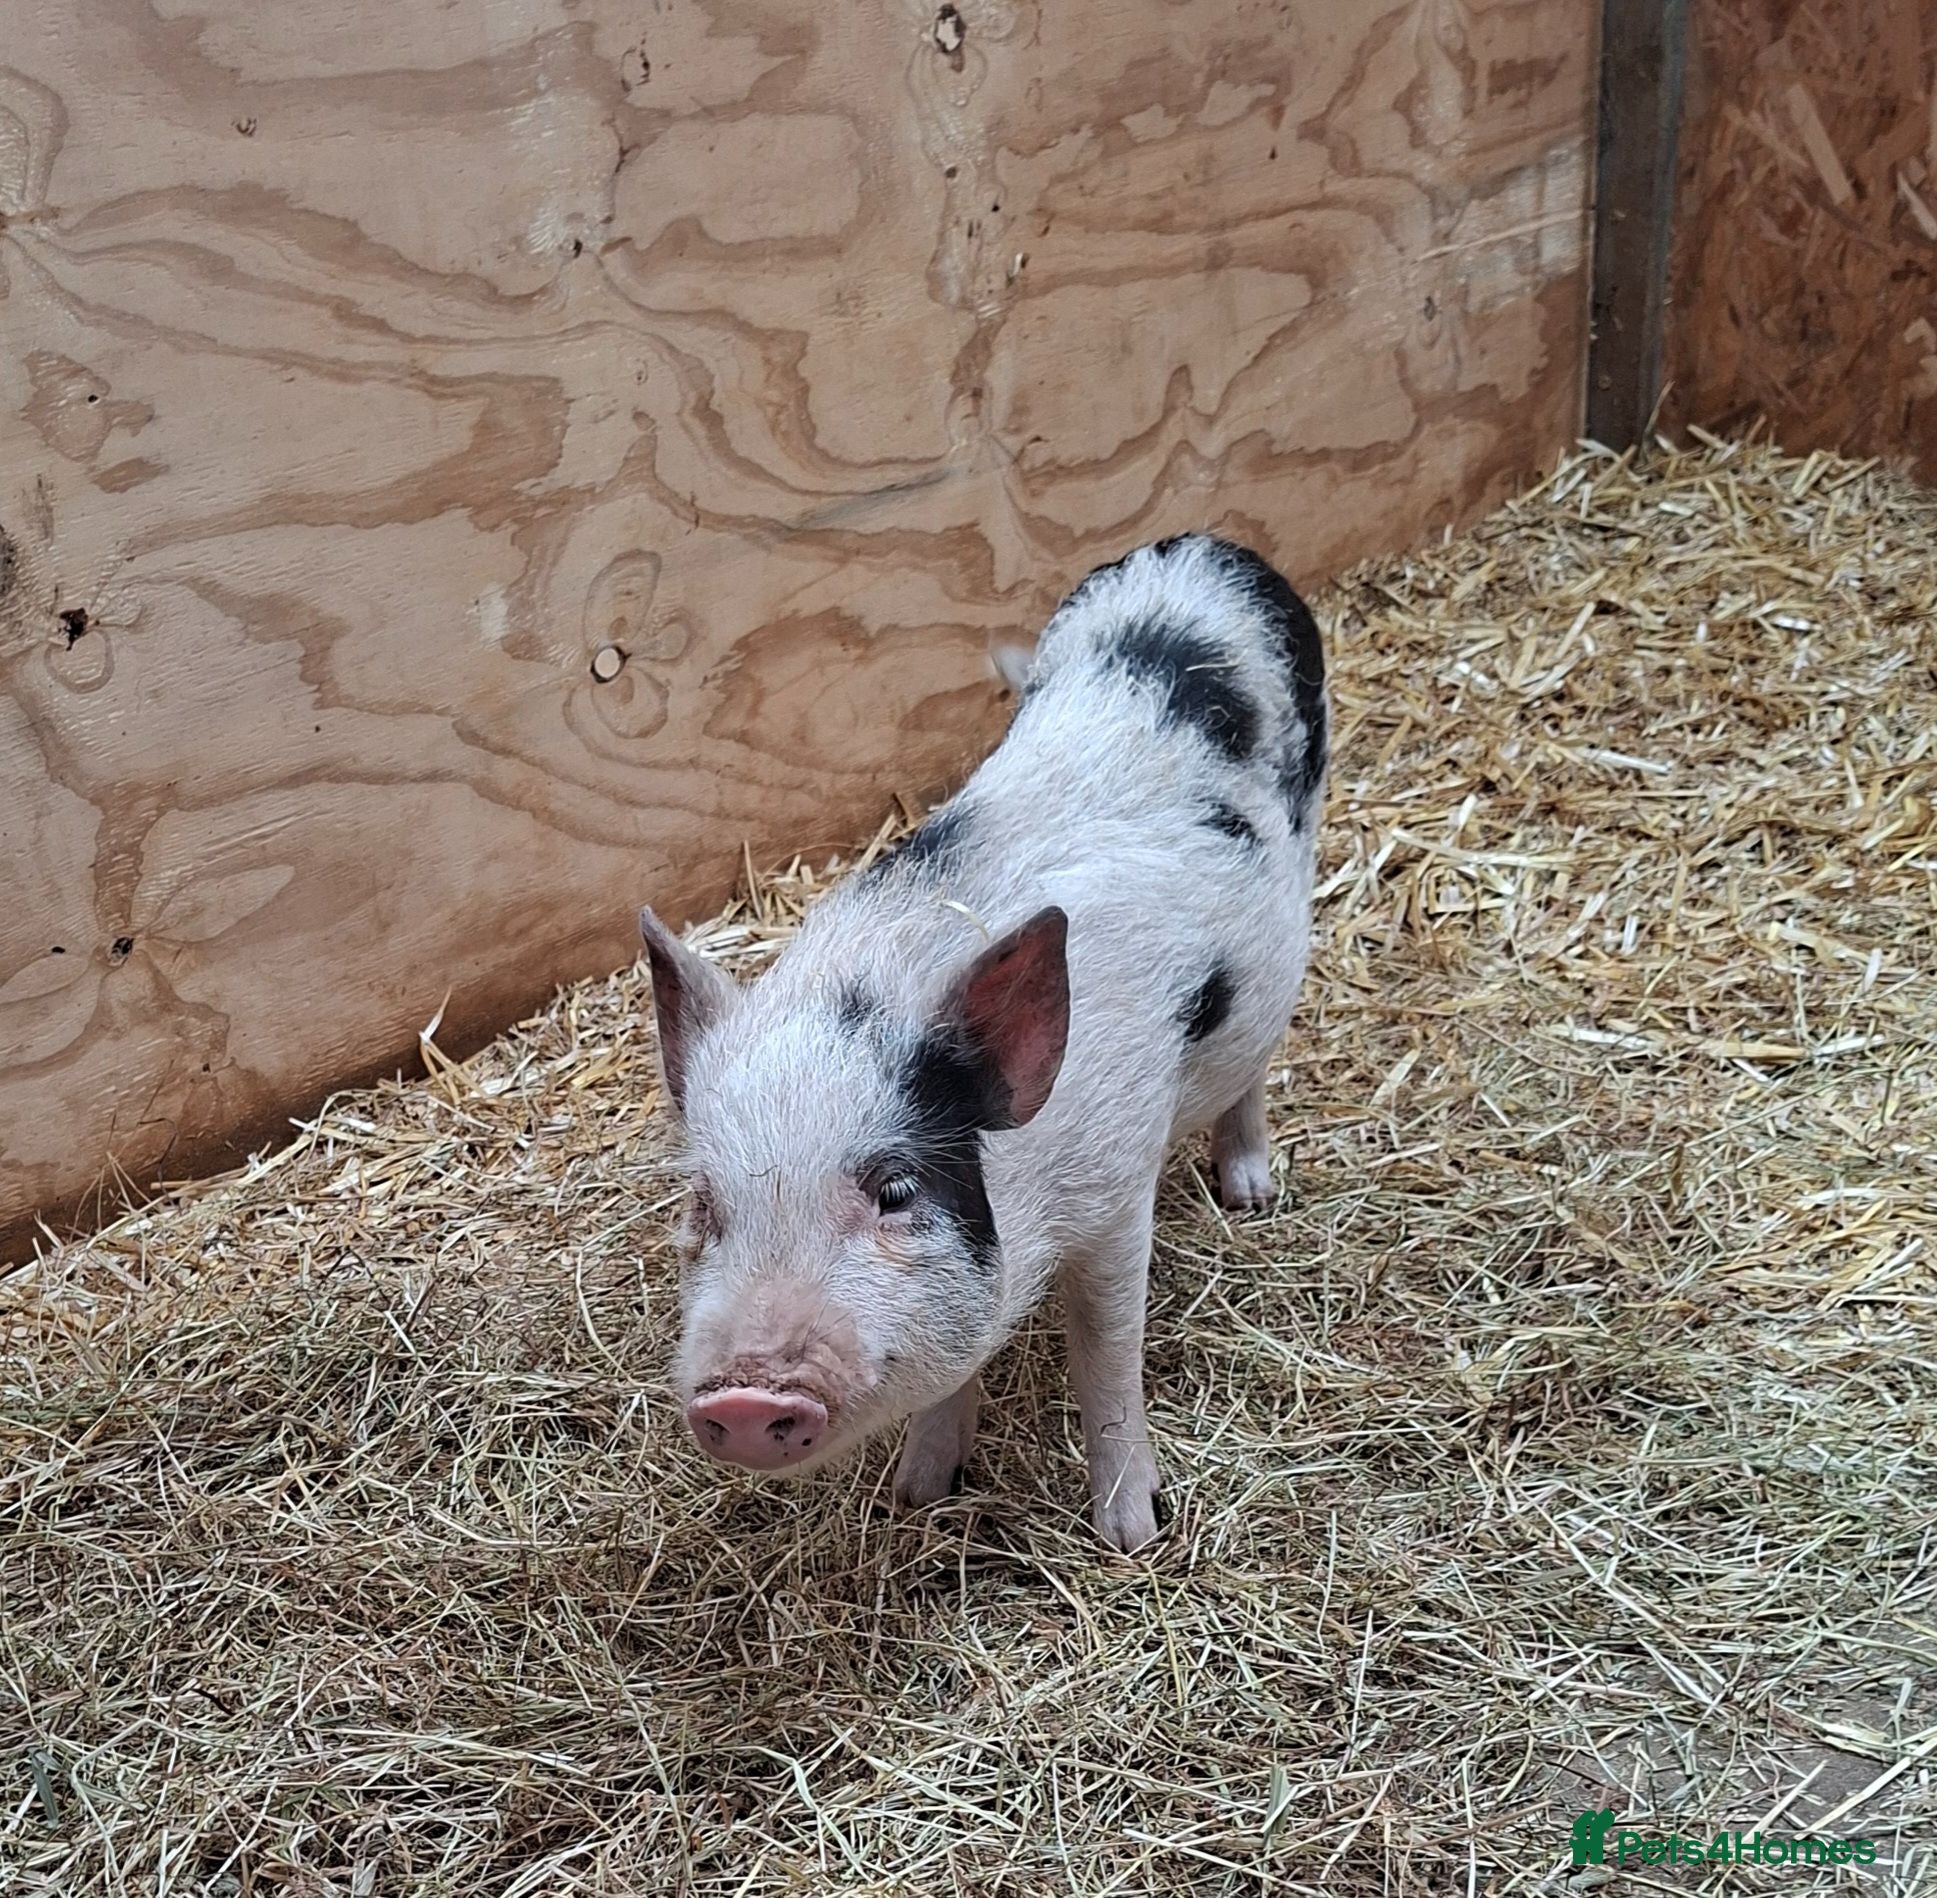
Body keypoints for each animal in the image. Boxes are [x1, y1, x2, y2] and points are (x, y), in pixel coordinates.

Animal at [638, 534, 1326, 1551]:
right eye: (704, 1206)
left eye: (895, 1189)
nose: (743, 1396)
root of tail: (1200, 548)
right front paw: (920, 1494)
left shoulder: (1118, 1188)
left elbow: (1105, 1354)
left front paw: (1132, 1536)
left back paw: (1248, 1194)